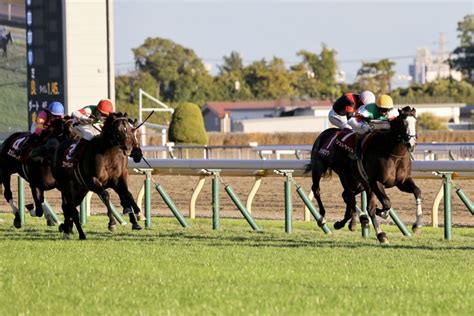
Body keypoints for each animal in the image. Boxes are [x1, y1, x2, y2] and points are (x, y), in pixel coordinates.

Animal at [306, 107, 420, 244]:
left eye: (416, 122)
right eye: (403, 123)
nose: (411, 143)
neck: (393, 154)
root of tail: (325, 133)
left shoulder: (402, 182)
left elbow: (417, 191)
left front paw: (416, 225)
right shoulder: (375, 182)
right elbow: (385, 204)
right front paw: (381, 224)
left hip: (357, 182)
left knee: (347, 196)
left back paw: (348, 222)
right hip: (323, 169)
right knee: (318, 190)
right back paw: (323, 217)